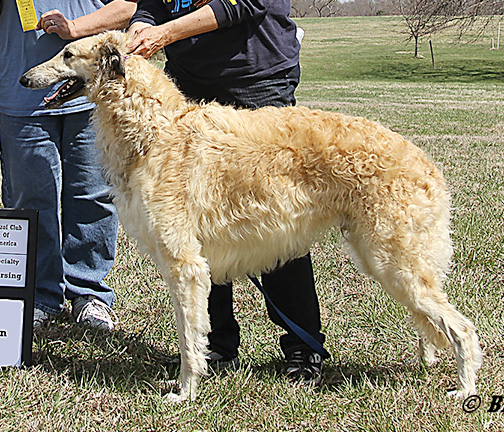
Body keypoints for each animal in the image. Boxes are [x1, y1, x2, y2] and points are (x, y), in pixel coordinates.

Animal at [19, 30, 482, 402]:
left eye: (67, 54)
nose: (24, 80)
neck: (157, 128)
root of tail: (426, 163)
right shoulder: (193, 266)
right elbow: (198, 332)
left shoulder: (185, 265)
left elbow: (189, 339)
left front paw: (185, 393)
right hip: (386, 259)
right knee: (435, 326)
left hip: (395, 262)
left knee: (463, 329)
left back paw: (465, 390)